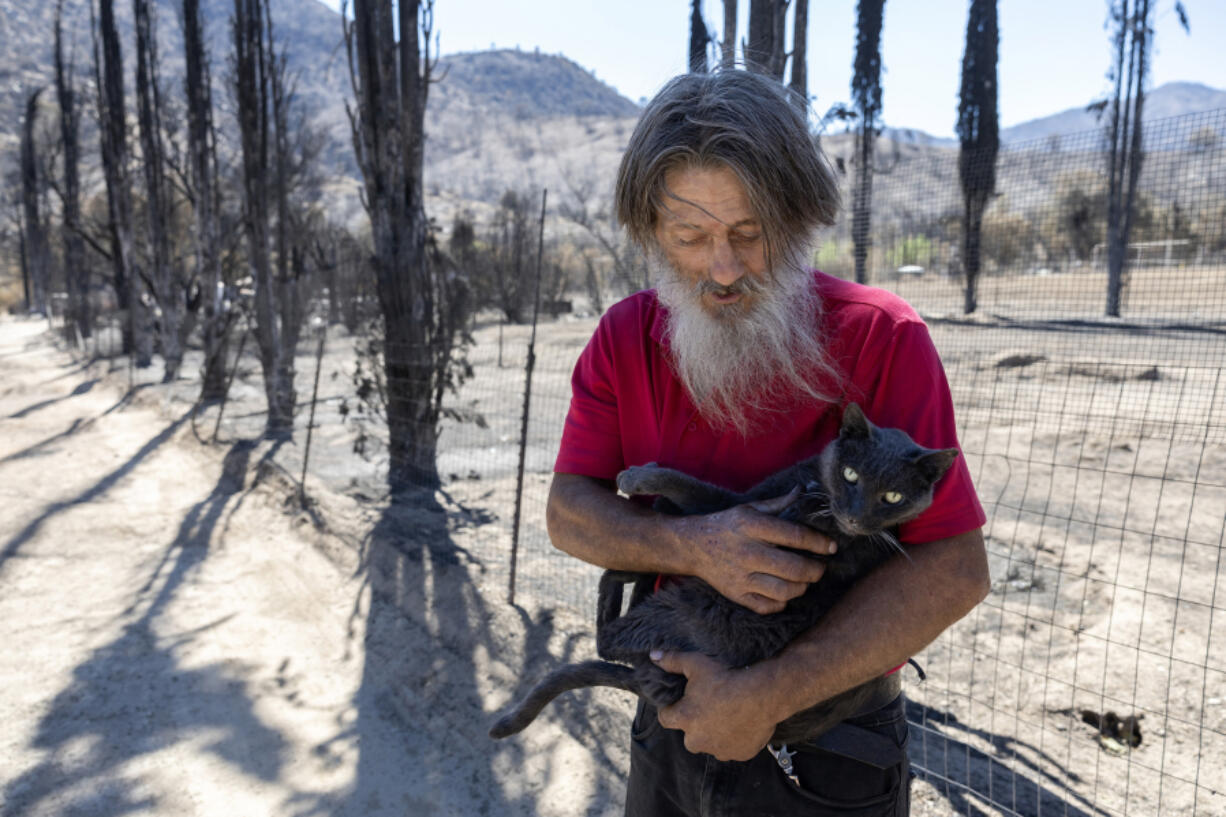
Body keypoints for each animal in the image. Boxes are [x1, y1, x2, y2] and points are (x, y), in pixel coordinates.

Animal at [487, 404, 956, 740]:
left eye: (892, 497)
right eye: (851, 473)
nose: (855, 517)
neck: (816, 494)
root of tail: (658, 689)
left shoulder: (741, 505)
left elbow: (684, 486)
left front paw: (637, 476)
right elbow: (673, 510)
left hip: (678, 612)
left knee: (609, 640)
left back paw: (619, 578)